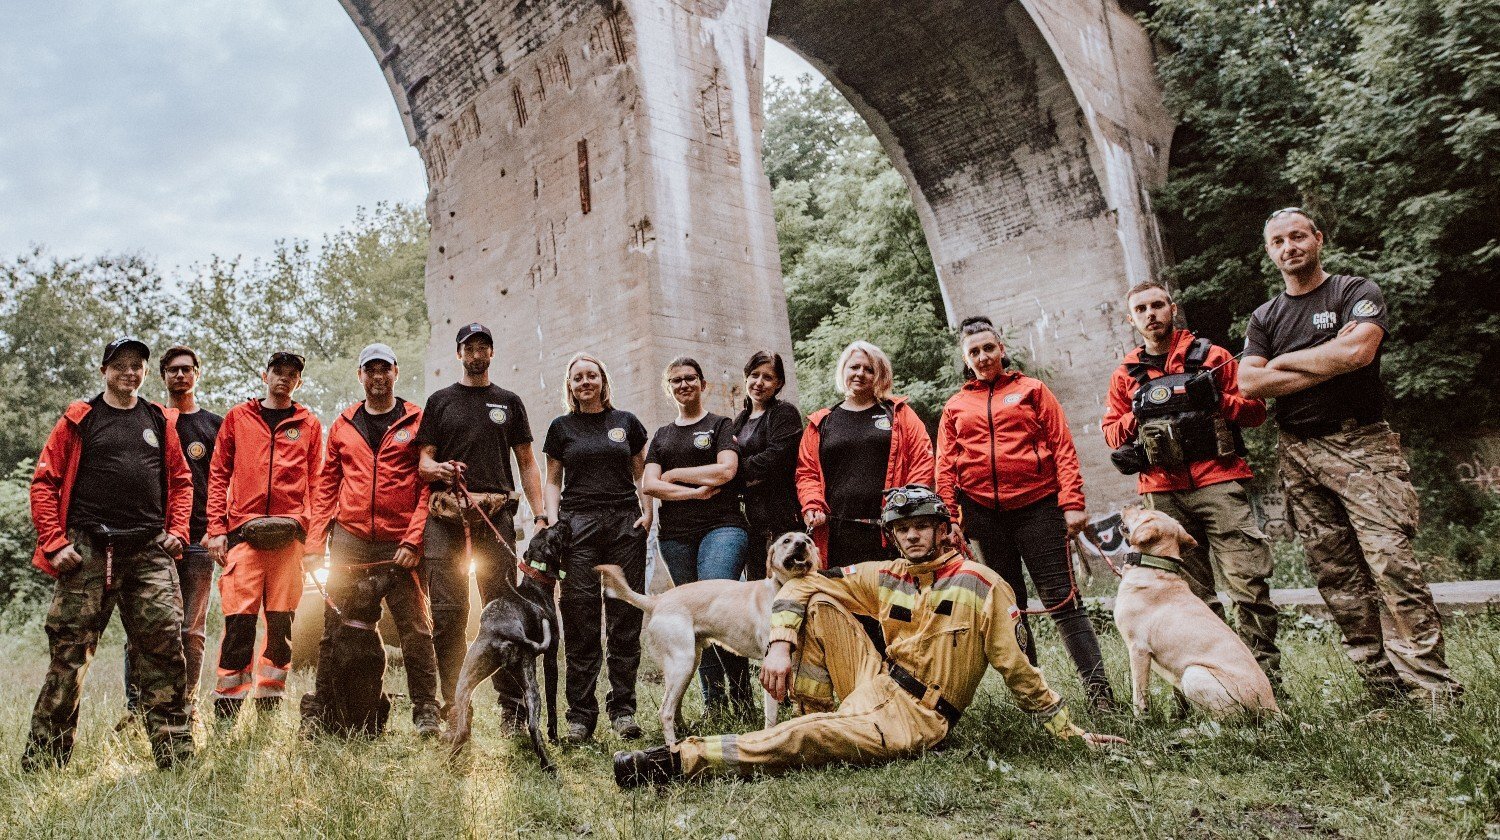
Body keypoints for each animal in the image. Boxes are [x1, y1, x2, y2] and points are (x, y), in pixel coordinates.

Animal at [294, 564, 393, 735]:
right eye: (372, 578)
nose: (393, 569)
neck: (361, 626)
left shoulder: (377, 678)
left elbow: (371, 710)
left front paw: (370, 734)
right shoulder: (339, 679)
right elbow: (344, 713)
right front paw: (347, 735)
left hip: (385, 698)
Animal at [444, 525, 567, 774]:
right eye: (555, 535)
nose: (562, 523)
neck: (534, 584)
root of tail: (502, 629)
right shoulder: (550, 659)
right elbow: (553, 707)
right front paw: (555, 737)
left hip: (465, 685)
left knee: (462, 731)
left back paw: (449, 765)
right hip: (531, 686)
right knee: (533, 727)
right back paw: (548, 765)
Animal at [594, 531, 816, 741]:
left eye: (808, 540)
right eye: (786, 541)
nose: (801, 544)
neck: (785, 590)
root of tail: (657, 601)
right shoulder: (771, 667)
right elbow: (772, 718)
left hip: (688, 666)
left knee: (675, 707)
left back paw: (685, 733)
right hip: (683, 665)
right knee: (665, 711)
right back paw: (674, 747)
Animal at [1116, 510, 1278, 720]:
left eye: (1141, 511)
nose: (1125, 507)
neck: (1154, 565)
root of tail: (1271, 706)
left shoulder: (1138, 649)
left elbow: (1139, 695)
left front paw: (1140, 721)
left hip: (1194, 673)